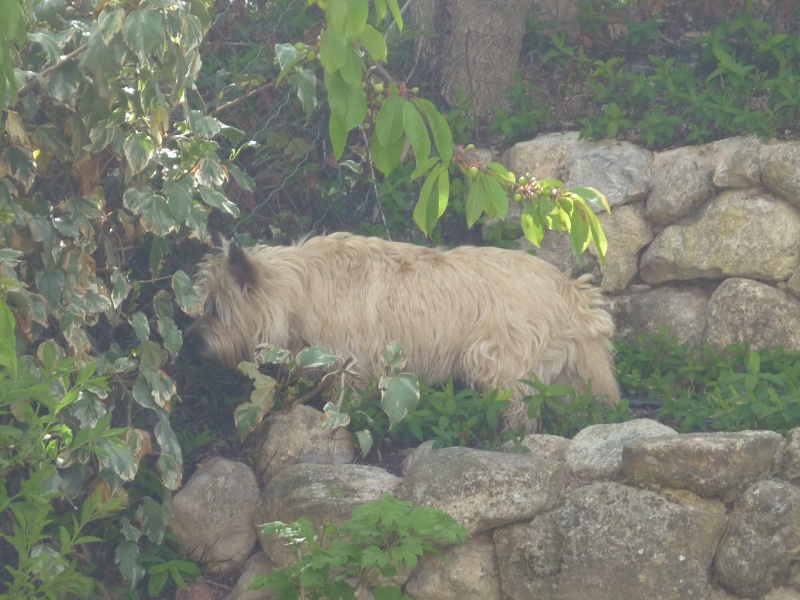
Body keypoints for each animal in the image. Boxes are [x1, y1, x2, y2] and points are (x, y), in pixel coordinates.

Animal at [186, 231, 620, 432]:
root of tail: (570, 291)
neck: (300, 289)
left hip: (494, 360)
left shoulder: (352, 366)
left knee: (520, 411)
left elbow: (347, 406)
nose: (190, 342)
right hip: (566, 375)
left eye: (214, 309)